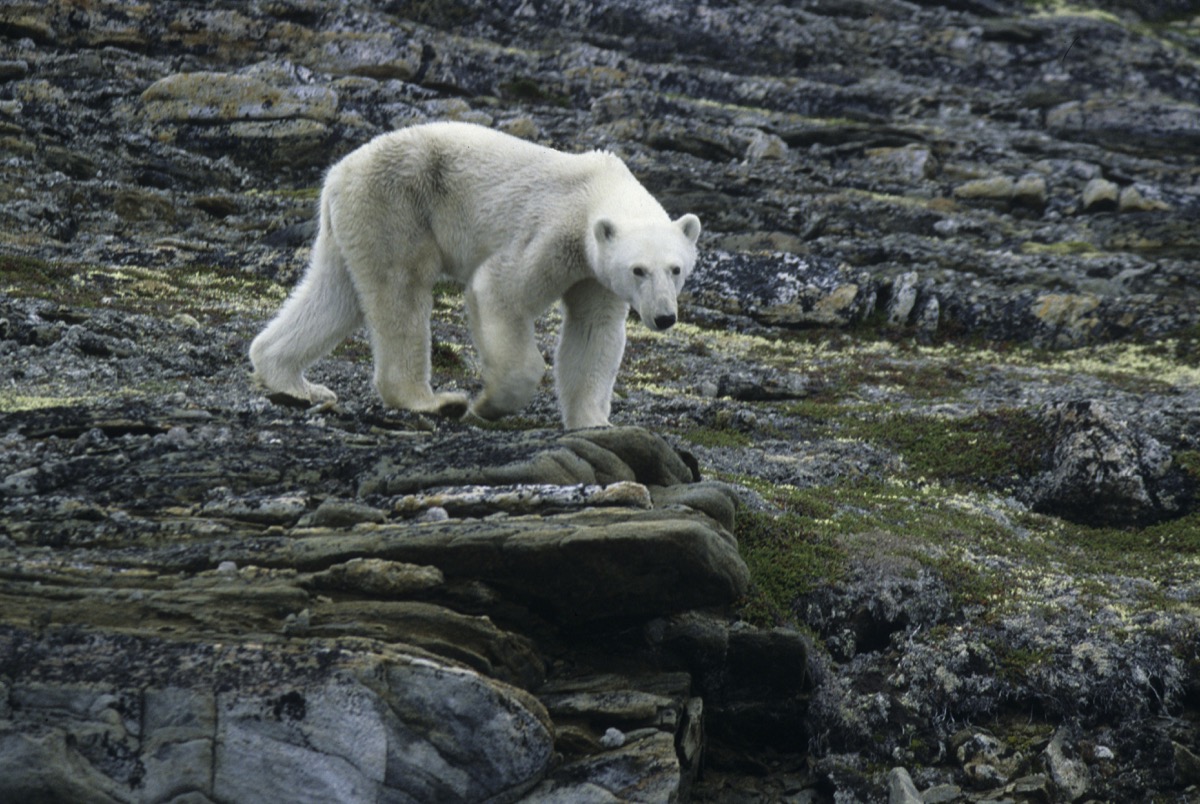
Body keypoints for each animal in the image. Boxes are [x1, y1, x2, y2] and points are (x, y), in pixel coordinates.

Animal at [250, 120, 700, 432]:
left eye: (675, 269)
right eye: (638, 269)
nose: (664, 317)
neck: (597, 192)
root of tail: (337, 172)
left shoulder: (593, 273)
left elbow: (593, 331)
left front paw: (595, 422)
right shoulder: (553, 234)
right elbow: (500, 291)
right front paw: (491, 403)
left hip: (352, 220)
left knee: (334, 294)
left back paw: (292, 380)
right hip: (397, 205)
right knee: (401, 289)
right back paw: (431, 400)